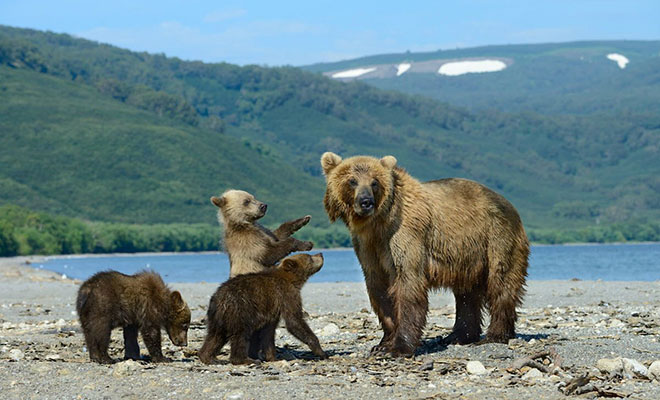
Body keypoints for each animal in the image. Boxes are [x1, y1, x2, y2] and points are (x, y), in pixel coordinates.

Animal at [320, 152, 532, 356]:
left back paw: (494, 335)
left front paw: (398, 347)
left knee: (501, 282)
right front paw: (382, 344)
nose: (366, 202)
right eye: (352, 180)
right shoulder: (368, 246)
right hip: (467, 254)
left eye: (374, 182)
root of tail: (509, 204)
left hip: (497, 236)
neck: (377, 224)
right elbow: (379, 288)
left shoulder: (405, 233)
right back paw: (458, 336)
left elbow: (408, 282)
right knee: (466, 293)